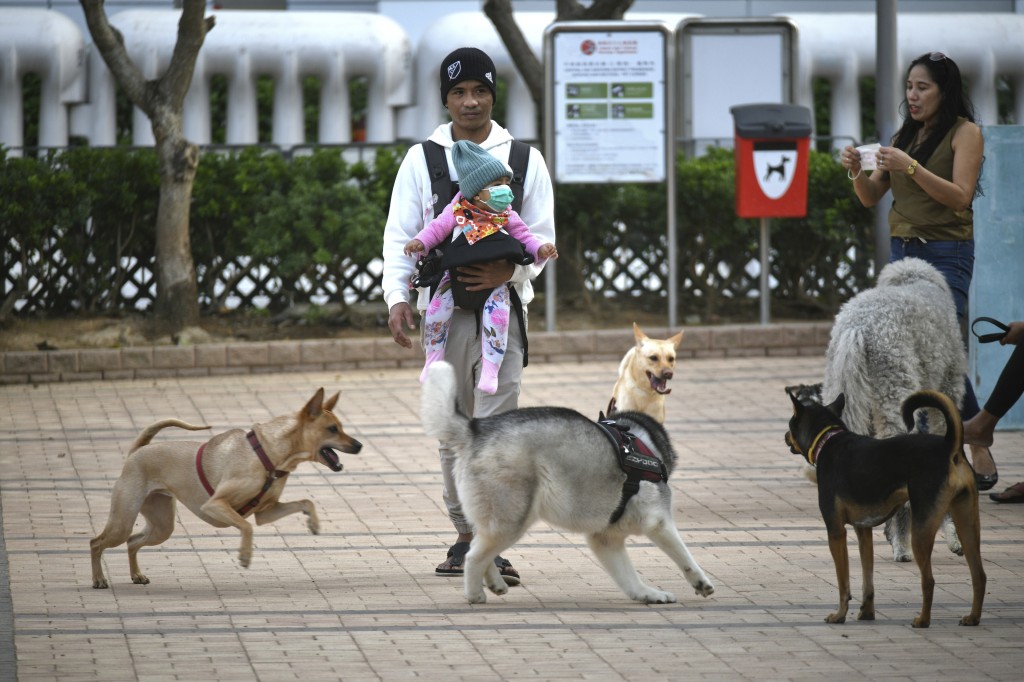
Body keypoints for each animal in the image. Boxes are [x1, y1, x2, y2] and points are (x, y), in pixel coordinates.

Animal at [91, 385, 364, 585]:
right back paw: (99, 579)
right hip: (123, 520)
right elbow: (246, 526)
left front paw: (313, 522)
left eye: (340, 427)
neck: (268, 454)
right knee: (97, 542)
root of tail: (137, 452)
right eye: (332, 429)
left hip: (161, 525)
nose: (360, 445)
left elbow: (305, 501)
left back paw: (136, 575)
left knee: (132, 542)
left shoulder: (267, 512)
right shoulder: (216, 505)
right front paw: (245, 555)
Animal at [415, 358, 712, 602]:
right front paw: (700, 582)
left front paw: (646, 594)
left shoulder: (605, 538)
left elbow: (628, 576)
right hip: (511, 520)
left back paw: (495, 583)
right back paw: (475, 594)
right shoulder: (658, 522)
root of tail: (476, 429)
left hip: (495, 517)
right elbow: (684, 555)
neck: (639, 438)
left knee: (479, 548)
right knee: (474, 555)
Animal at [782, 387, 983, 626]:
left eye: (790, 424)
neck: (827, 440)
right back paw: (972, 617)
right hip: (967, 524)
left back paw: (923, 620)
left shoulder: (836, 531)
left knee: (929, 580)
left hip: (922, 529)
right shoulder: (864, 530)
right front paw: (867, 613)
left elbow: (843, 583)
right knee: (979, 575)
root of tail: (949, 447)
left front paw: (840, 615)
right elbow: (867, 578)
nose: (784, 437)